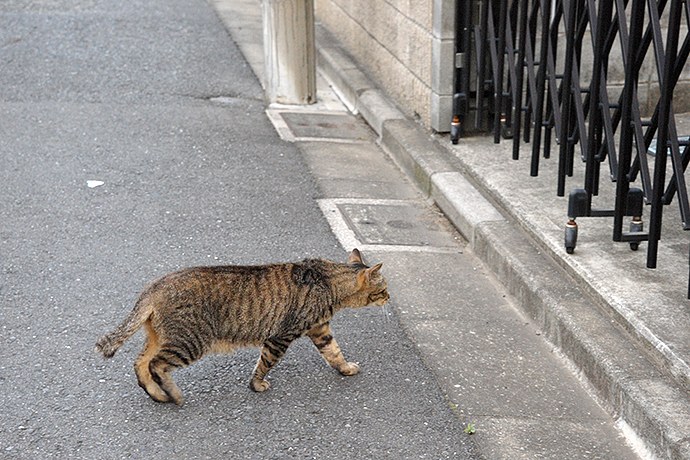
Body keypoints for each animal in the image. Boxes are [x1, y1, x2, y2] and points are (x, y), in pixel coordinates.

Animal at [94, 250, 390, 404]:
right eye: (384, 288)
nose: (389, 297)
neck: (328, 280)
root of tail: (153, 287)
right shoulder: (280, 336)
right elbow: (265, 363)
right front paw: (257, 384)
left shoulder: (320, 329)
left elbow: (334, 352)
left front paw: (346, 368)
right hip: (191, 342)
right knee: (157, 364)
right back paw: (174, 394)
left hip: (162, 337)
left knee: (140, 363)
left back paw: (157, 394)